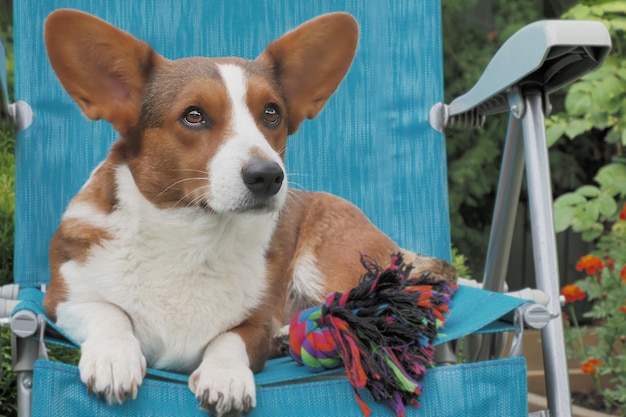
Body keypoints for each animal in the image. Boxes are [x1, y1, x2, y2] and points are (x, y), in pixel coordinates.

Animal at [42, 8, 454, 414]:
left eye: (271, 113)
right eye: (193, 115)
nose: (268, 176)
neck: (192, 238)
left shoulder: (256, 324)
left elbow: (229, 338)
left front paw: (225, 377)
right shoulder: (60, 301)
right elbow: (110, 313)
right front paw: (114, 358)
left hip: (327, 266)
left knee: (383, 304)